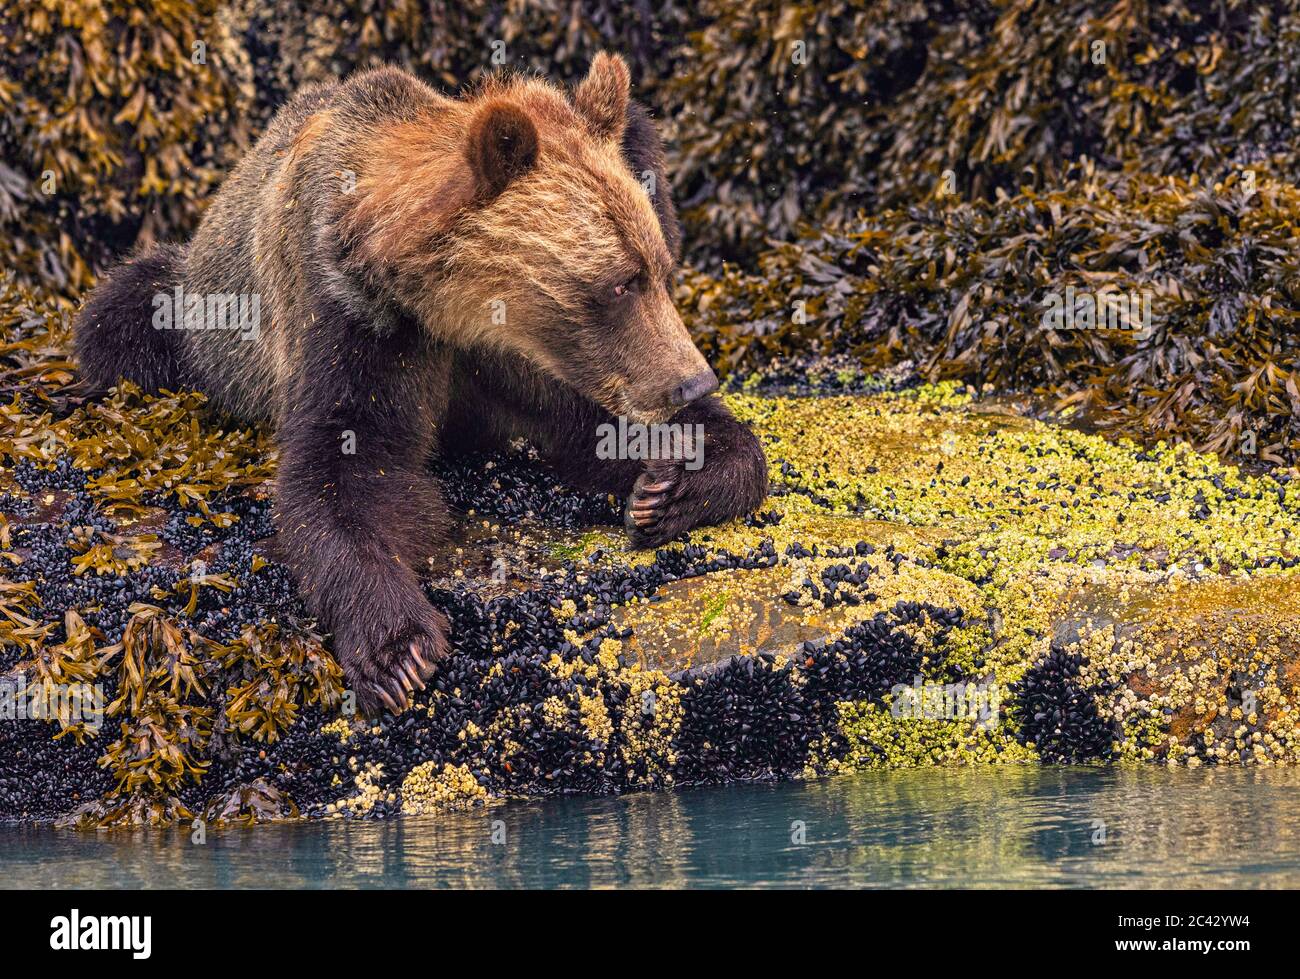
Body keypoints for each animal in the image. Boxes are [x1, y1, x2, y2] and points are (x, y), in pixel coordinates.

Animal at [72, 54, 769, 715]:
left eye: (660, 269)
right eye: (621, 283)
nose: (692, 380)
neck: (447, 306)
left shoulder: (523, 364)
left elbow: (597, 430)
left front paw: (673, 484)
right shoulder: (353, 321)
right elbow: (345, 466)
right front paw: (397, 648)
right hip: (190, 314)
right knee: (120, 314)